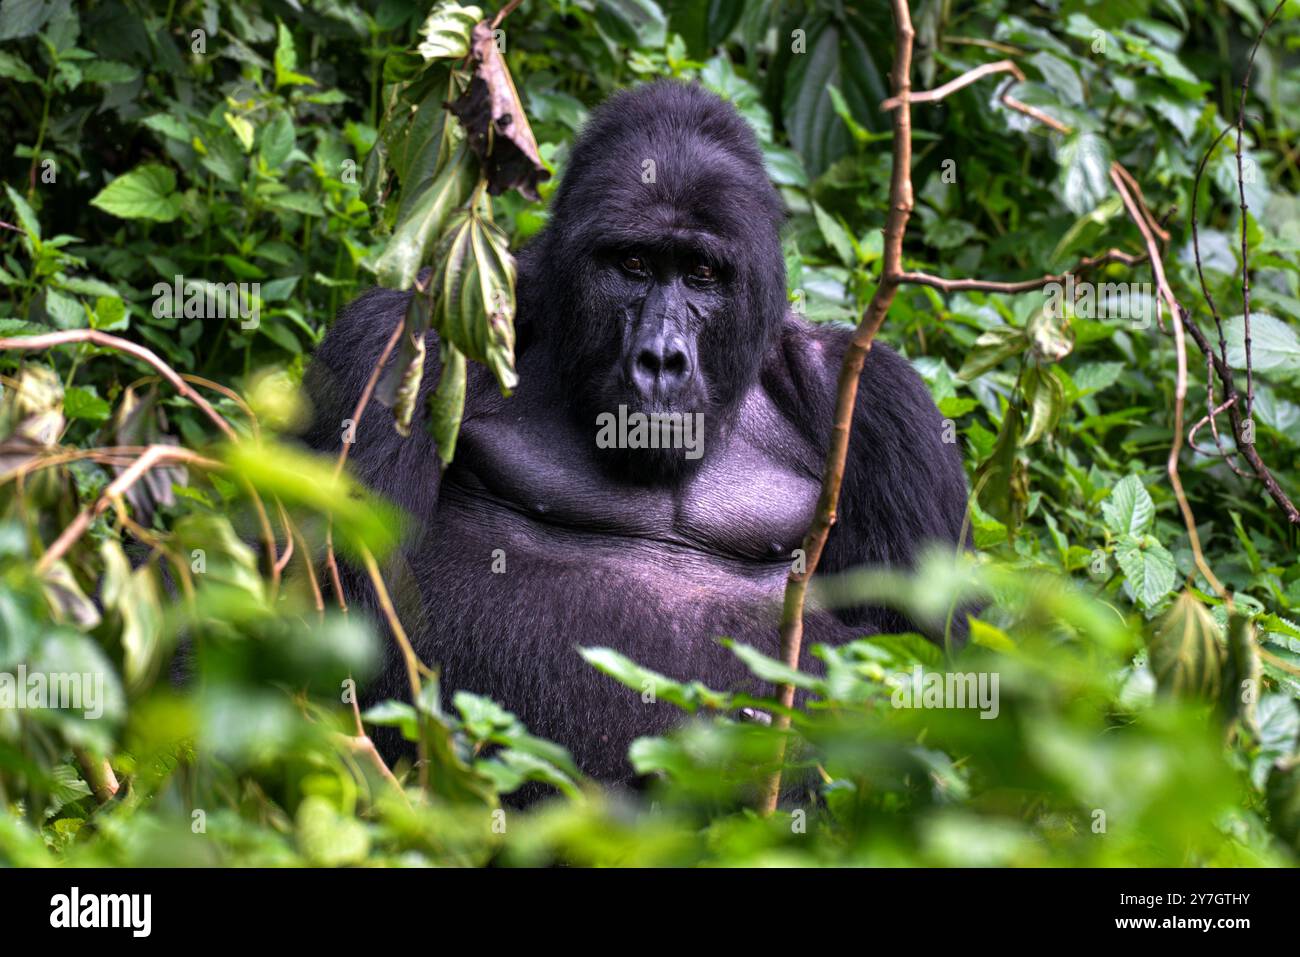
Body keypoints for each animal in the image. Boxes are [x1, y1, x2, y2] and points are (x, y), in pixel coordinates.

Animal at [304, 80, 972, 785]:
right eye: (632, 263)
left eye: (702, 273)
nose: (660, 359)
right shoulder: (402, 337)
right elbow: (348, 608)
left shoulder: (888, 409)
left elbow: (943, 662)